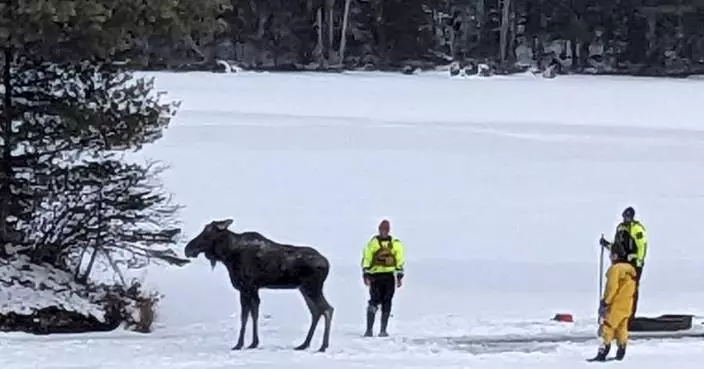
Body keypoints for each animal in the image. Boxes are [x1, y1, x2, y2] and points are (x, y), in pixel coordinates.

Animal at [183, 218, 334, 350]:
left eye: (207, 233)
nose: (187, 249)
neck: (228, 256)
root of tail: (327, 264)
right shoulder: (252, 289)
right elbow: (253, 314)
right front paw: (253, 343)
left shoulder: (246, 288)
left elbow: (245, 317)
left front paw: (240, 344)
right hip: (304, 289)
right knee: (316, 311)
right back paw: (304, 344)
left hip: (312, 288)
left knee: (327, 309)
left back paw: (322, 346)